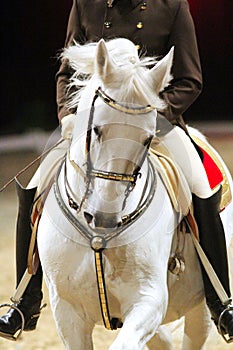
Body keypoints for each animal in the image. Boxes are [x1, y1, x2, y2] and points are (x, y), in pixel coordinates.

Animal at [37, 37, 232, 348]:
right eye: (96, 130)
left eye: (148, 138)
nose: (104, 217)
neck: (98, 238)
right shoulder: (67, 312)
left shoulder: (148, 300)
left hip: (199, 309)